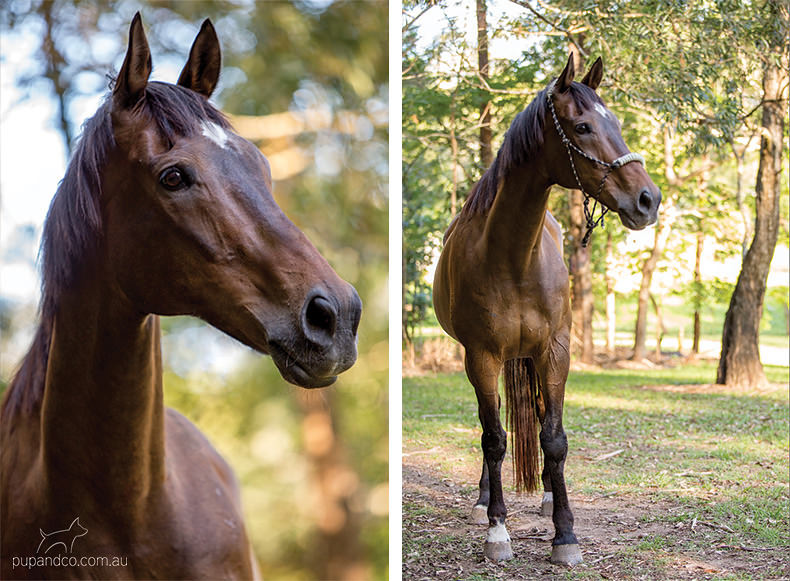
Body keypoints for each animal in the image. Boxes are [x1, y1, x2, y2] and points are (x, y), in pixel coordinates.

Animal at [434, 53, 664, 560]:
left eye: (615, 123)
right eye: (581, 127)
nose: (648, 199)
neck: (514, 258)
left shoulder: (555, 351)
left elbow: (553, 438)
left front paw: (565, 534)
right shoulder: (481, 355)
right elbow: (494, 438)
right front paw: (498, 530)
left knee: (536, 416)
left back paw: (541, 495)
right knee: (492, 428)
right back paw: (484, 502)